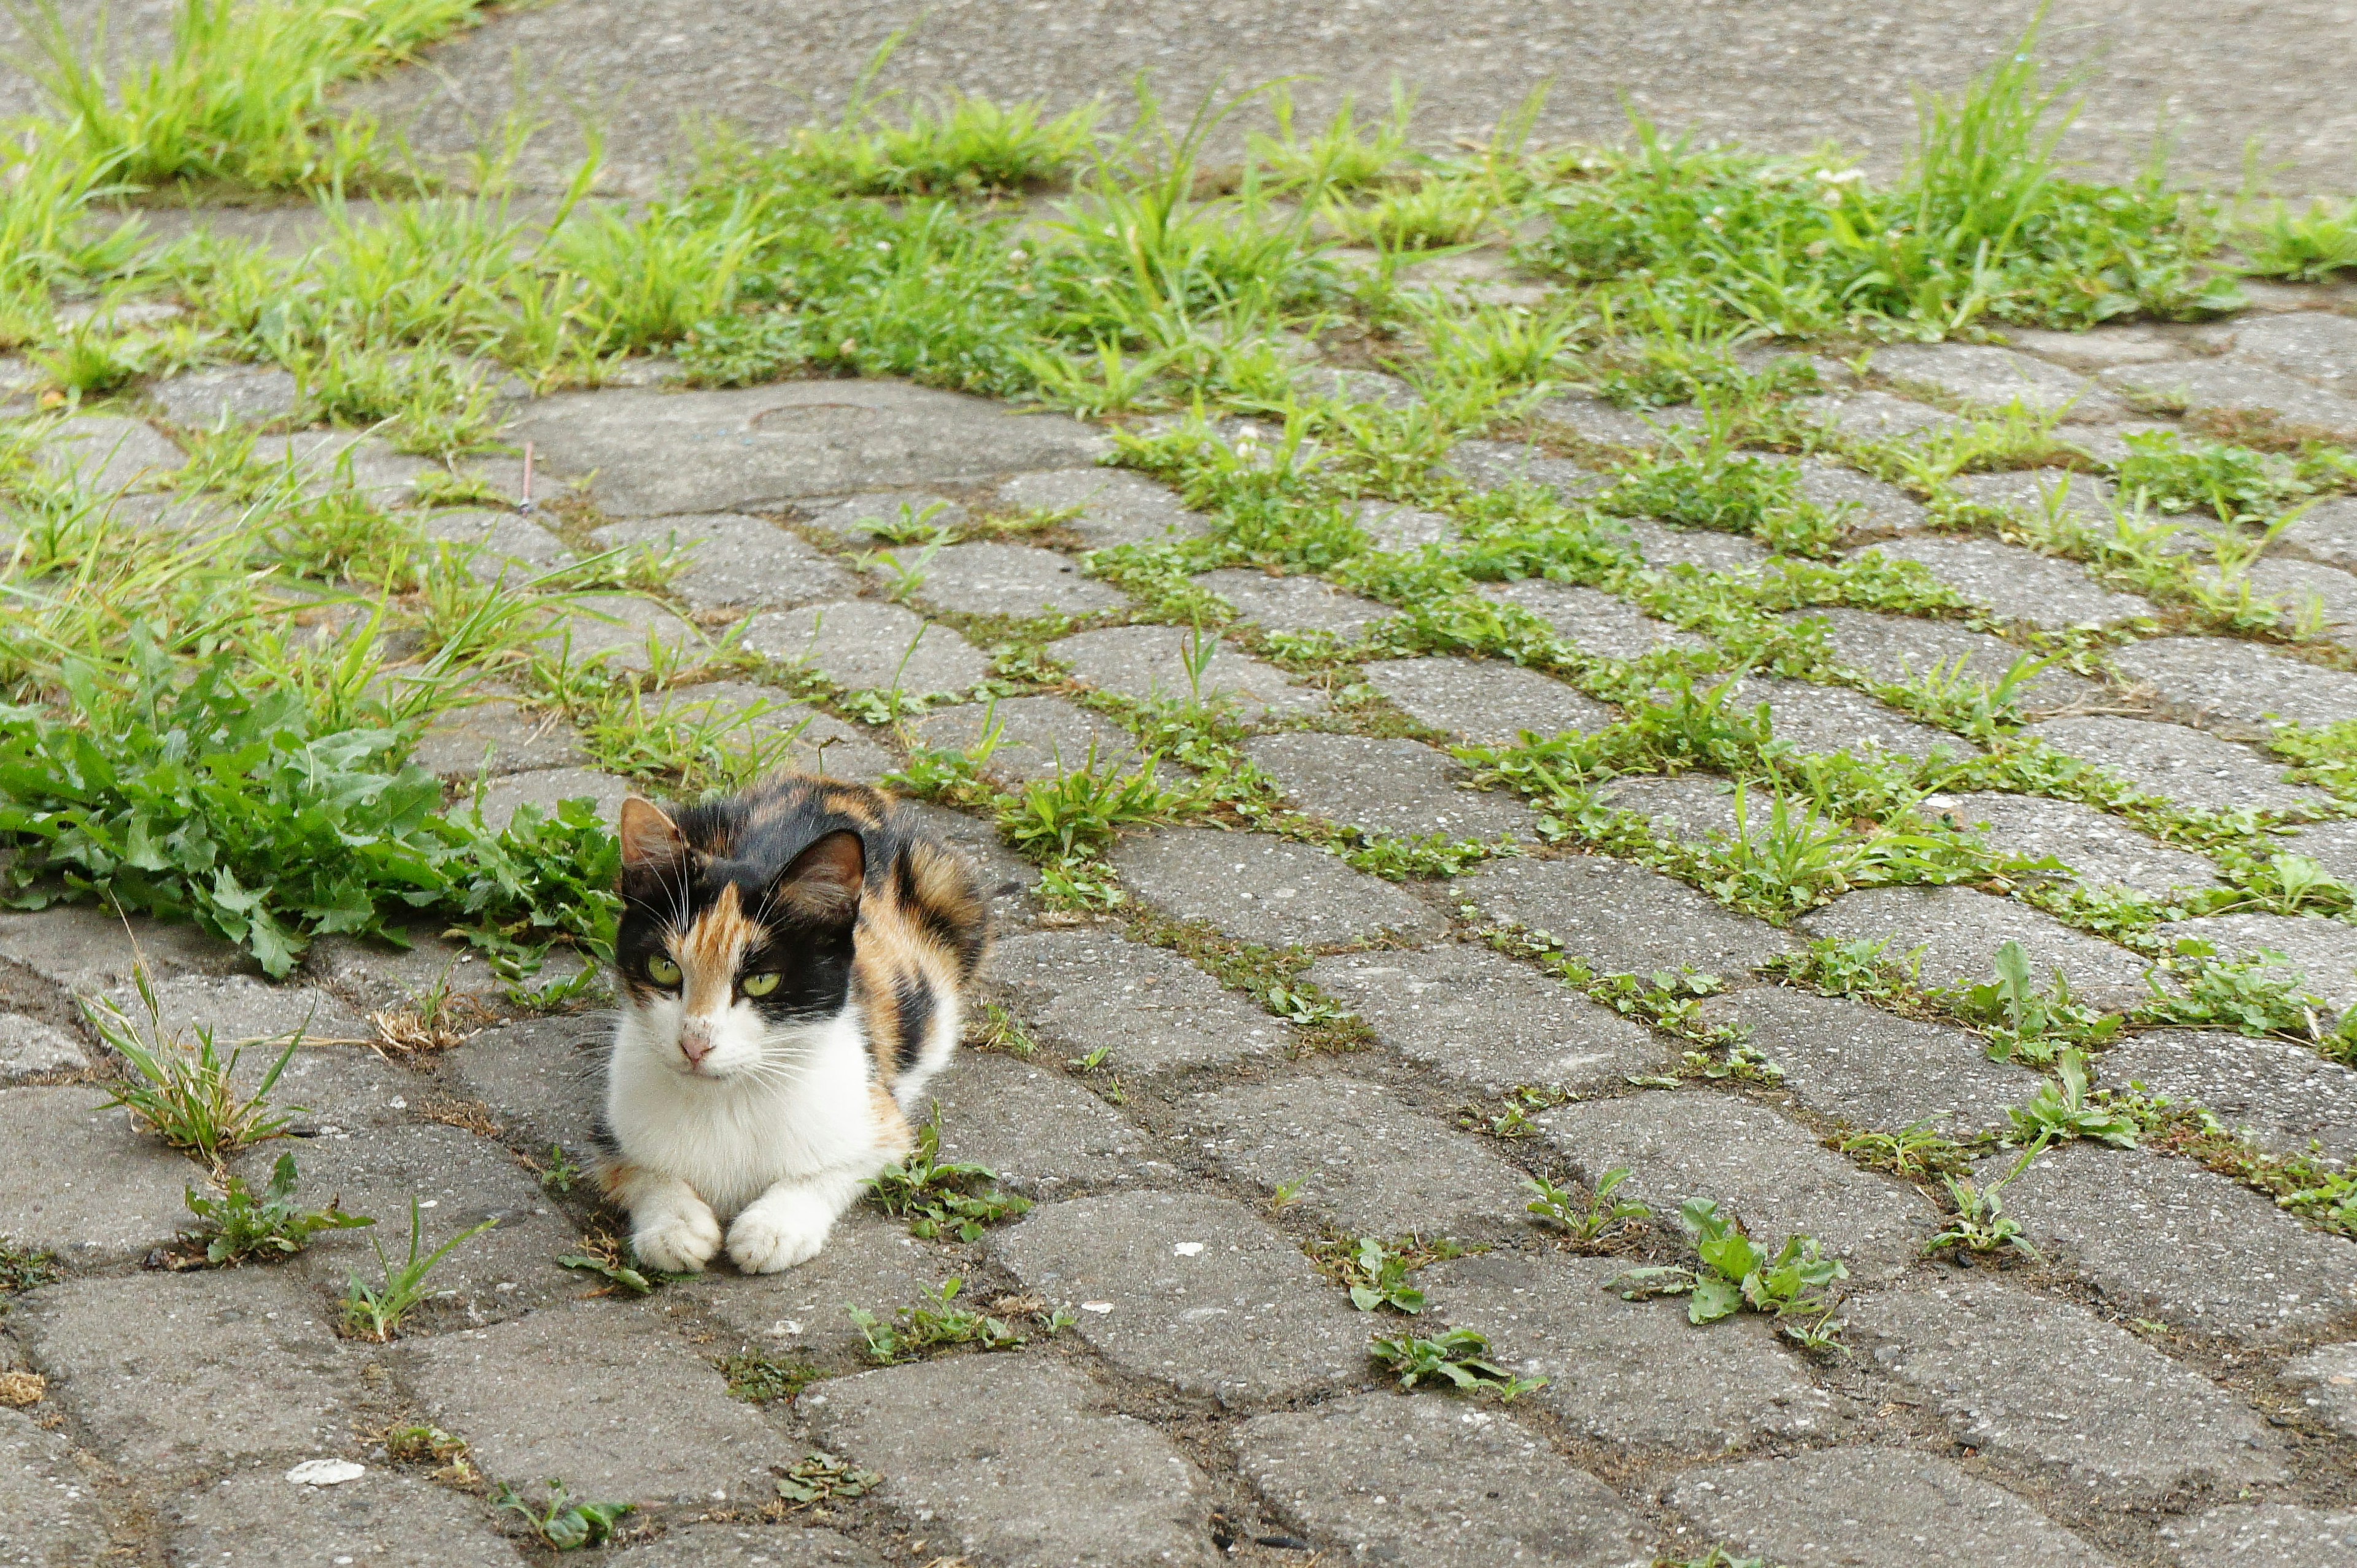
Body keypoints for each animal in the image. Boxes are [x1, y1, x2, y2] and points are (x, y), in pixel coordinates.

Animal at [598, 768, 994, 1273]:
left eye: (762, 980)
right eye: (664, 968)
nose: (694, 1043)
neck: (727, 1101)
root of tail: (834, 784)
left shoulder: (878, 1119)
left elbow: (835, 1167)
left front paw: (773, 1227)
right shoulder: (611, 1126)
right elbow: (640, 1169)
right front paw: (675, 1225)